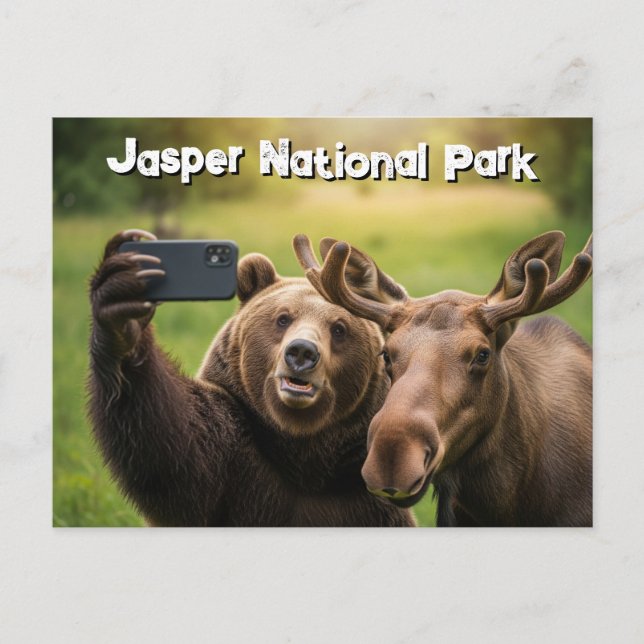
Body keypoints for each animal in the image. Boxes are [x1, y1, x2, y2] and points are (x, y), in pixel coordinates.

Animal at [87, 229, 415, 527]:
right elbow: (174, 452)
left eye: (339, 328)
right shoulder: (235, 453)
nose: (302, 352)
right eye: (283, 318)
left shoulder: (359, 496)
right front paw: (122, 310)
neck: (302, 454)